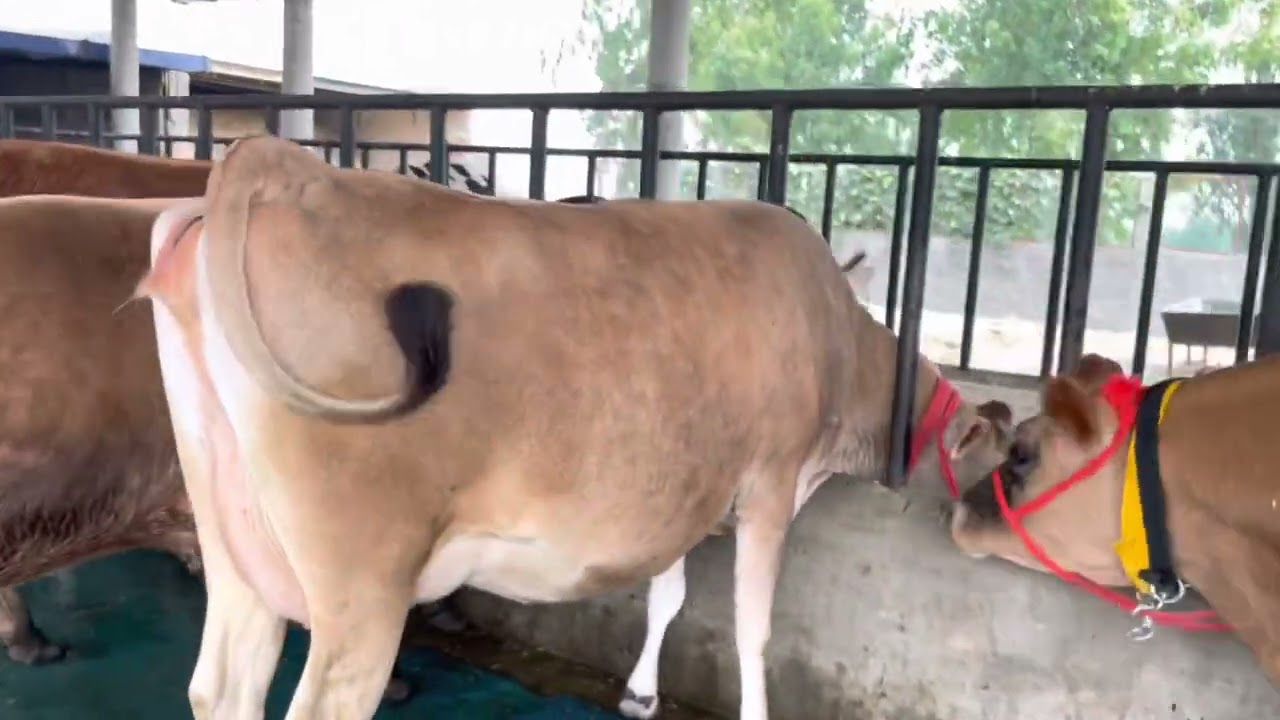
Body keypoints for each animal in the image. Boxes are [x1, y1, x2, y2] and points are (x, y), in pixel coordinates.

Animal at [138, 134, 1014, 720]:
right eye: (998, 460)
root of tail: (288, 169)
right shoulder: (771, 482)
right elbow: (753, 628)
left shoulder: (687, 490)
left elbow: (668, 592)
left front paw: (640, 693)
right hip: (362, 583)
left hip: (232, 538)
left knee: (221, 686)